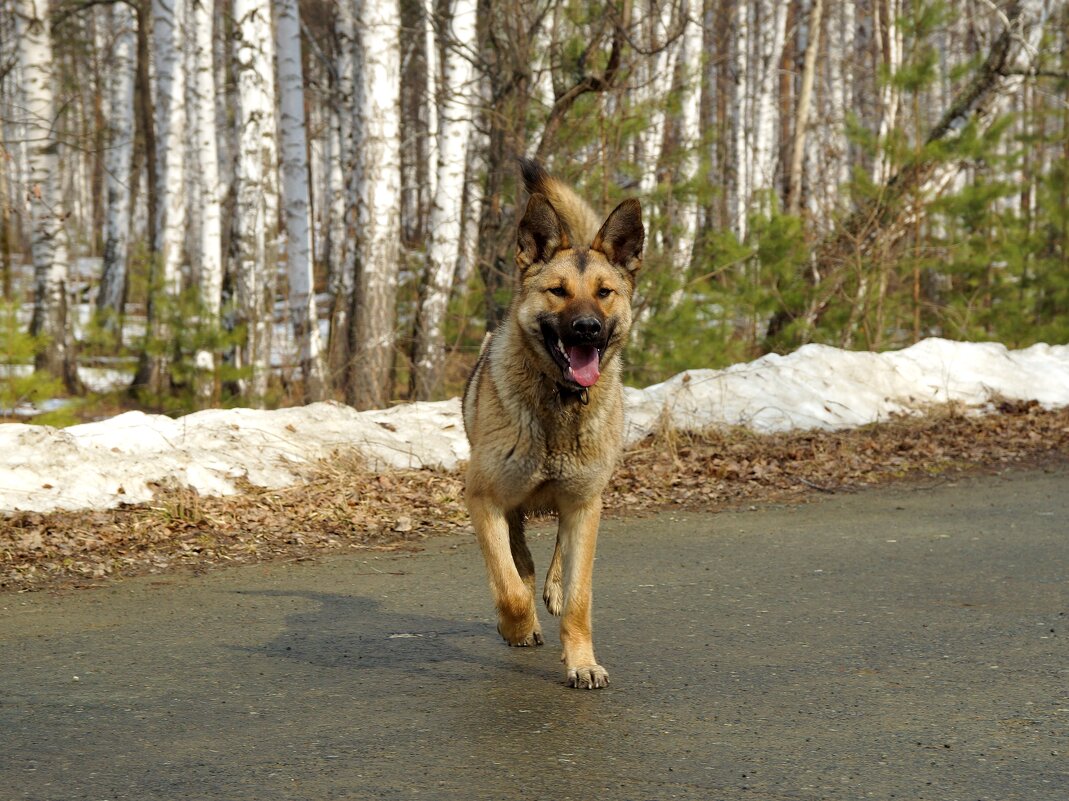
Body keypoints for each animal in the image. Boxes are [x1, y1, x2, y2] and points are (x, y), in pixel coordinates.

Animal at [461, 158, 641, 688]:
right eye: (557, 292)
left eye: (605, 293)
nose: (587, 329)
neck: (559, 403)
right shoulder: (483, 499)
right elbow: (508, 585)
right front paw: (517, 626)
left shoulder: (584, 505)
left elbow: (580, 597)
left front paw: (581, 661)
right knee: (518, 556)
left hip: (583, 500)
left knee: (559, 557)